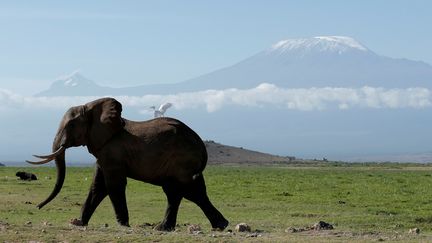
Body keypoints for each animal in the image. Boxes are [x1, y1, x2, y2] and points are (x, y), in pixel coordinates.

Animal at [26, 98, 230, 231]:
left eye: (70, 125)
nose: (37, 207)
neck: (92, 108)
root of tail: (201, 144)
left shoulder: (112, 152)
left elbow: (112, 185)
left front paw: (123, 224)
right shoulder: (104, 153)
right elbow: (97, 186)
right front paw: (77, 223)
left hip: (182, 160)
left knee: (185, 190)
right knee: (187, 191)